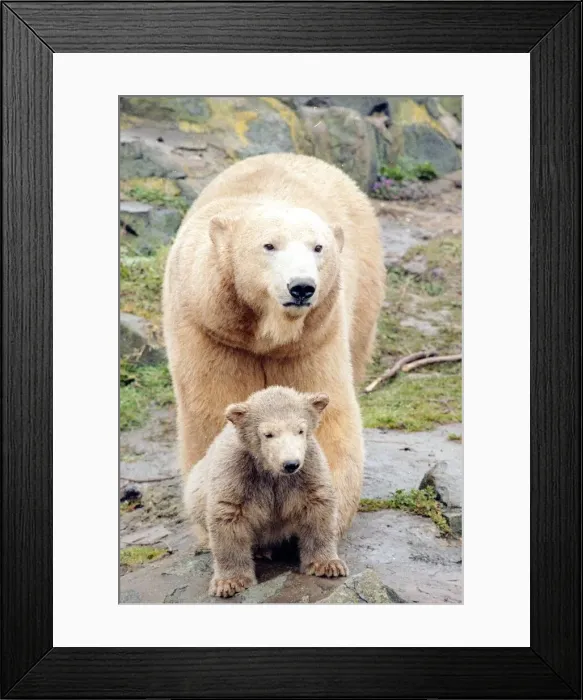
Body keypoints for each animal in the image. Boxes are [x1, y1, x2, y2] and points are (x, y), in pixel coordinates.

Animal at [163, 152, 385, 534]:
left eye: (318, 247)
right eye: (269, 245)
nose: (302, 287)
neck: (266, 334)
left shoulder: (314, 337)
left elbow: (327, 414)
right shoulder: (210, 328)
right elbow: (215, 413)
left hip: (363, 293)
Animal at [183, 385, 348, 598]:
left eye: (300, 430)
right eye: (268, 434)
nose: (290, 464)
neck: (270, 471)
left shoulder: (308, 467)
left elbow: (317, 505)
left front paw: (328, 565)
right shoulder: (235, 470)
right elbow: (228, 515)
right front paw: (230, 582)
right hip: (195, 487)